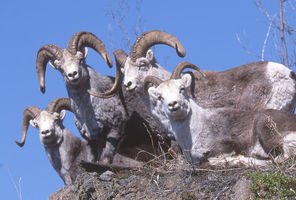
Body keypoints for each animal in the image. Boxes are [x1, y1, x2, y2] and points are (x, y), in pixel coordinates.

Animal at [34, 31, 168, 164]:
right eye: (60, 68)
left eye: (81, 60)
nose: (73, 75)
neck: (88, 111)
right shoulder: (92, 141)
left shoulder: (114, 132)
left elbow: (105, 160)